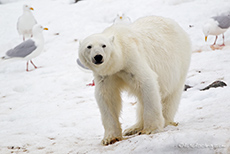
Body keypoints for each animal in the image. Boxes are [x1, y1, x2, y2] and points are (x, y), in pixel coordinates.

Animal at [78, 15, 191, 146]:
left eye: (103, 45)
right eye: (89, 46)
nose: (98, 57)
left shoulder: (132, 60)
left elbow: (147, 83)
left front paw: (150, 129)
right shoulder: (106, 76)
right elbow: (107, 97)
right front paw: (110, 138)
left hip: (178, 62)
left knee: (170, 96)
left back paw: (164, 121)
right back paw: (133, 128)